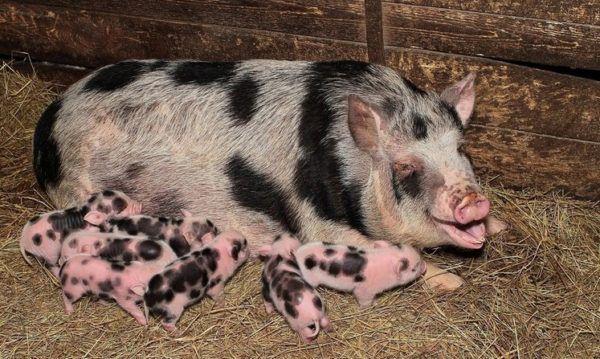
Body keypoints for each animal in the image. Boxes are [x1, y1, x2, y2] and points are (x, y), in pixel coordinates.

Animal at [296, 242, 426, 306]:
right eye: (414, 268)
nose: (425, 267)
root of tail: (296, 255)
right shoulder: (364, 290)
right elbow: (364, 299)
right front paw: (372, 306)